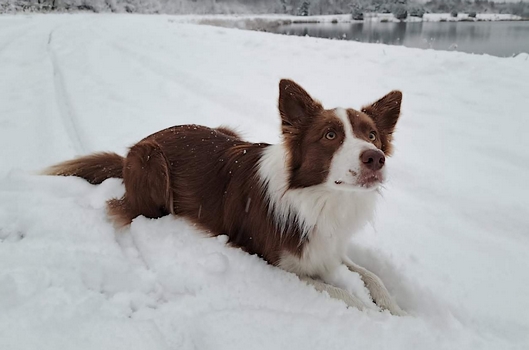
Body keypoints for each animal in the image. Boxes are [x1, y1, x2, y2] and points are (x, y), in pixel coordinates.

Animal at [44, 79, 404, 314]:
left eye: (372, 135)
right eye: (330, 135)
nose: (375, 158)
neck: (319, 197)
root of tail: (129, 153)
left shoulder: (326, 246)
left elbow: (372, 277)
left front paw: (397, 310)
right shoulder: (275, 263)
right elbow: (345, 296)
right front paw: (378, 316)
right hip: (151, 162)